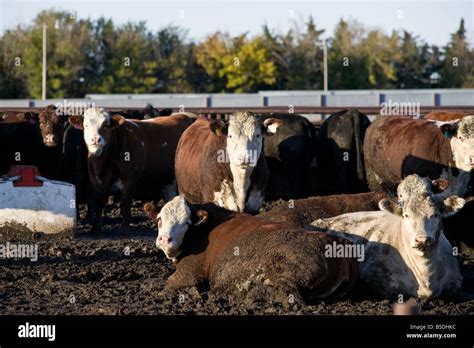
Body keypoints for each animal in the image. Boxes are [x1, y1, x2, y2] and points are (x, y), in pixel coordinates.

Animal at [144, 197, 360, 304]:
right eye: (160, 219)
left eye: (186, 223)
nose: (164, 240)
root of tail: (335, 241)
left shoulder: (188, 275)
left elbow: (167, 284)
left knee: (292, 297)